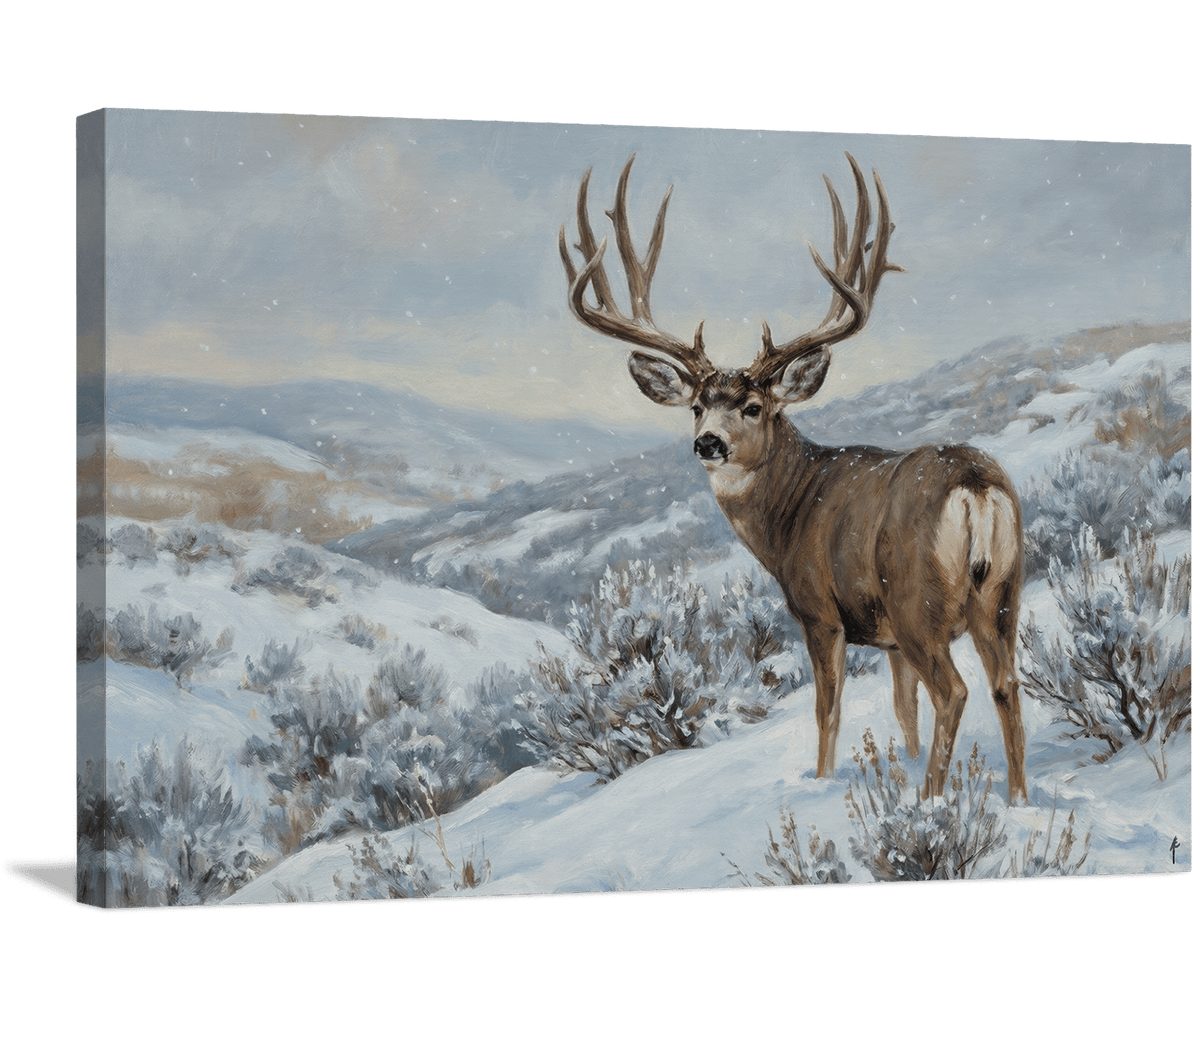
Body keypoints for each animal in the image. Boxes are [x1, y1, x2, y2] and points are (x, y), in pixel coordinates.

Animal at [558, 153, 1028, 803]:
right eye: (697, 406)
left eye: (754, 406)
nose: (708, 442)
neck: (789, 515)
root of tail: (976, 484)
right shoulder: (885, 637)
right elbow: (901, 708)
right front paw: (902, 762)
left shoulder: (820, 611)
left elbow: (828, 710)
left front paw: (824, 780)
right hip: (1003, 594)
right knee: (1006, 686)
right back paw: (1019, 800)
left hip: (918, 599)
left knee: (954, 692)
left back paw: (931, 799)